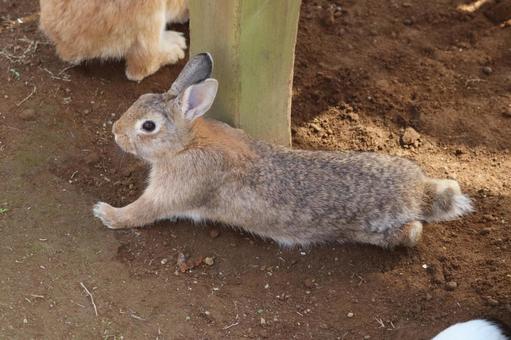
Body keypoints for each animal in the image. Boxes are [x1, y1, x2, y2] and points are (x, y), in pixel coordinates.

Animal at [94, 53, 474, 250]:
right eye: (142, 98)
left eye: (148, 126)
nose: (115, 133)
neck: (188, 143)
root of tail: (417, 192)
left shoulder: (174, 192)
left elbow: (142, 212)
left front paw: (106, 213)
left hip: (381, 229)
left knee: (412, 233)